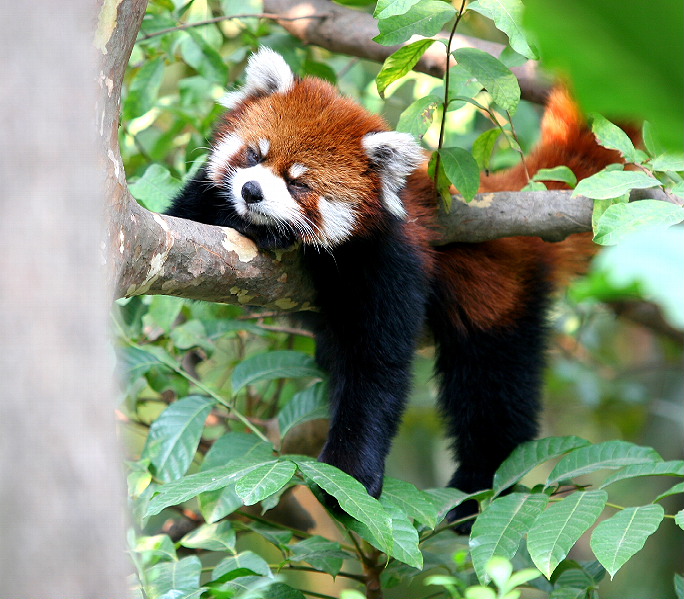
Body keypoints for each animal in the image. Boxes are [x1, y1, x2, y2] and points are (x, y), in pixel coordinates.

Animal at [164, 48, 624, 528]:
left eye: (298, 183)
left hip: (494, 291)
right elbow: (187, 219)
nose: (252, 191)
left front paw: (350, 473)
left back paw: (478, 489)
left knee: (492, 388)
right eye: (254, 154)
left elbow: (375, 365)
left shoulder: (388, 260)